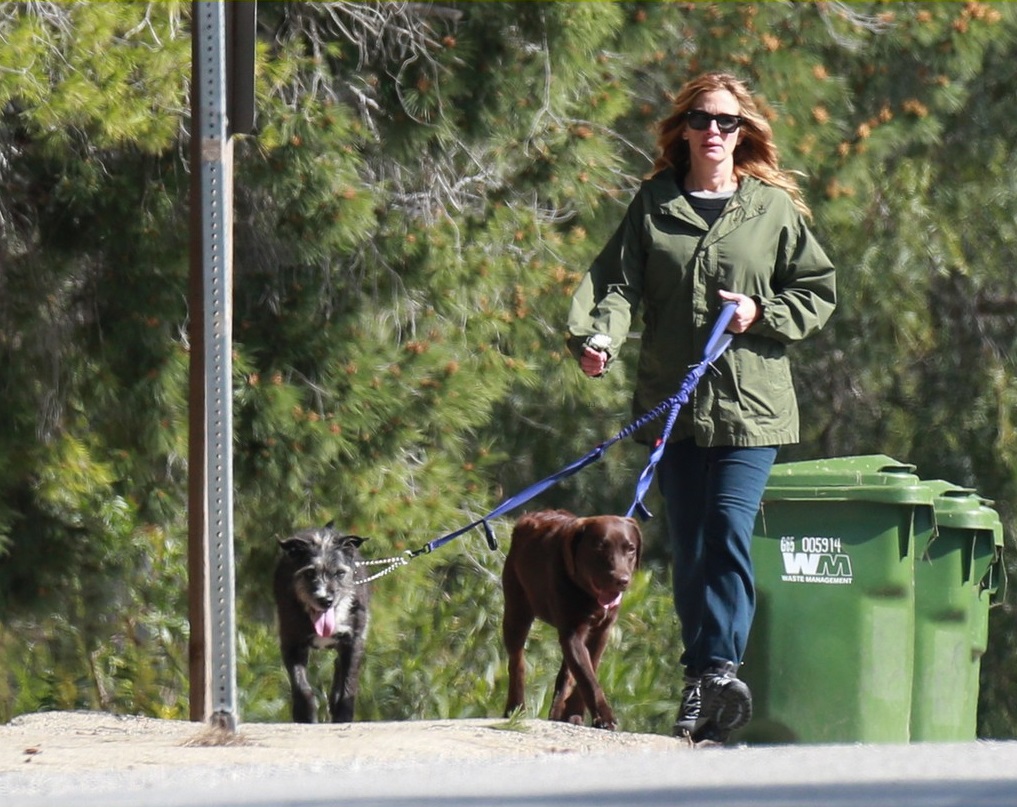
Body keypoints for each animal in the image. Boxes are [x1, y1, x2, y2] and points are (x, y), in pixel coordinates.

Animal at [272, 520, 372, 723]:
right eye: (310, 573)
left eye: (340, 573)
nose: (325, 600)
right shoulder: (291, 643)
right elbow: (301, 685)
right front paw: (305, 715)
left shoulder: (354, 641)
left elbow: (349, 682)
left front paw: (343, 716)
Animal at [502, 510, 638, 727]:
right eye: (599, 547)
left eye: (631, 549)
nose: (622, 580)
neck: (588, 594)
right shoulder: (572, 631)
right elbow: (587, 677)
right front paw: (605, 717)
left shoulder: (602, 631)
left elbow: (587, 671)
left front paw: (575, 713)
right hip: (516, 610)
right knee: (517, 662)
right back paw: (515, 708)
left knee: (566, 673)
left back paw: (558, 711)